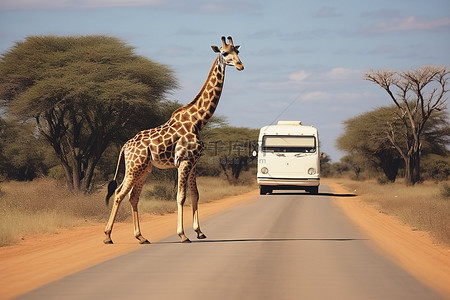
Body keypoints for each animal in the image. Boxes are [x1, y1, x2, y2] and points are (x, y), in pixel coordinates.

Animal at [103, 36, 244, 245]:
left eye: (238, 51)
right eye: (225, 53)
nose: (241, 65)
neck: (198, 121)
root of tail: (124, 147)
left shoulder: (194, 162)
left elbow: (195, 194)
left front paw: (199, 231)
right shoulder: (184, 161)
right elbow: (181, 196)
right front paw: (183, 235)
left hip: (144, 169)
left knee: (133, 197)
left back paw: (141, 237)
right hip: (134, 167)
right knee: (120, 193)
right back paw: (107, 236)